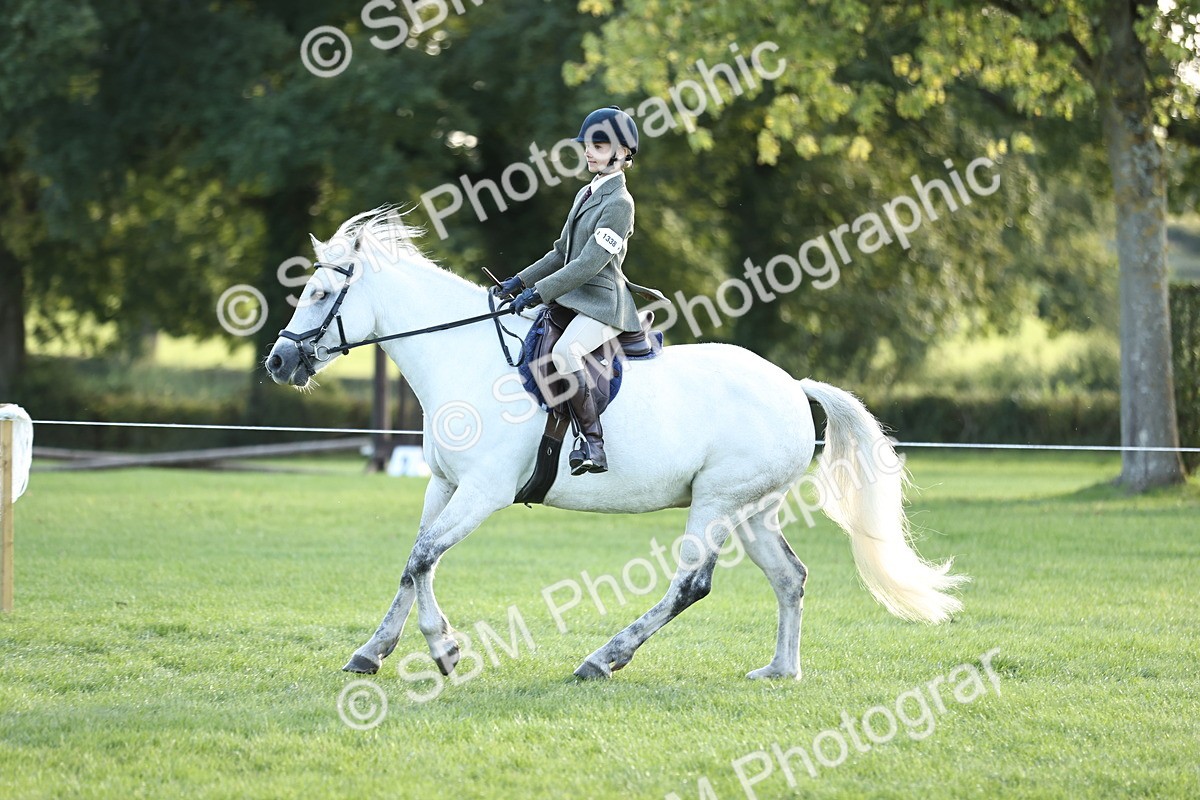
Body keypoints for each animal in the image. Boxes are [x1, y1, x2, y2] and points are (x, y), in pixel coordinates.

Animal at [265, 207, 967, 681]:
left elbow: (423, 557)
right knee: (789, 577)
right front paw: (374, 651)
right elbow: (414, 563)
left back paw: (603, 659)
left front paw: (444, 650)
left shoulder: (484, 491)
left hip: (716, 501)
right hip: (752, 508)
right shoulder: (444, 484)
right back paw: (779, 671)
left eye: (321, 294)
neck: (462, 356)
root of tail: (793, 387)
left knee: (691, 584)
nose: (278, 362)